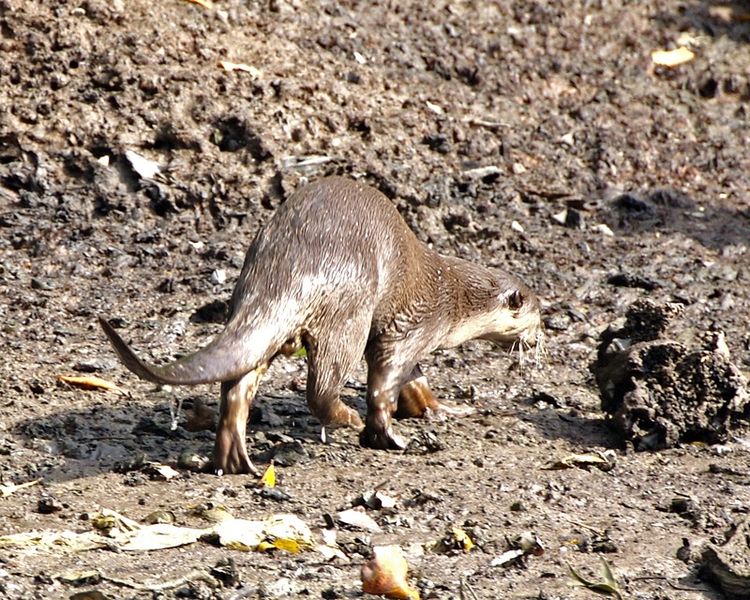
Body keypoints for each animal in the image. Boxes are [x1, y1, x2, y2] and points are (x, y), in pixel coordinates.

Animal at [101, 176, 548, 476]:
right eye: (536, 311)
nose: (539, 334)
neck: (453, 297)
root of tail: (289, 265)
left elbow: (417, 383)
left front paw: (442, 408)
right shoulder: (412, 328)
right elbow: (387, 381)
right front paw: (385, 434)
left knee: (237, 386)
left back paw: (234, 460)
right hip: (350, 312)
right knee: (322, 386)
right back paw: (349, 420)